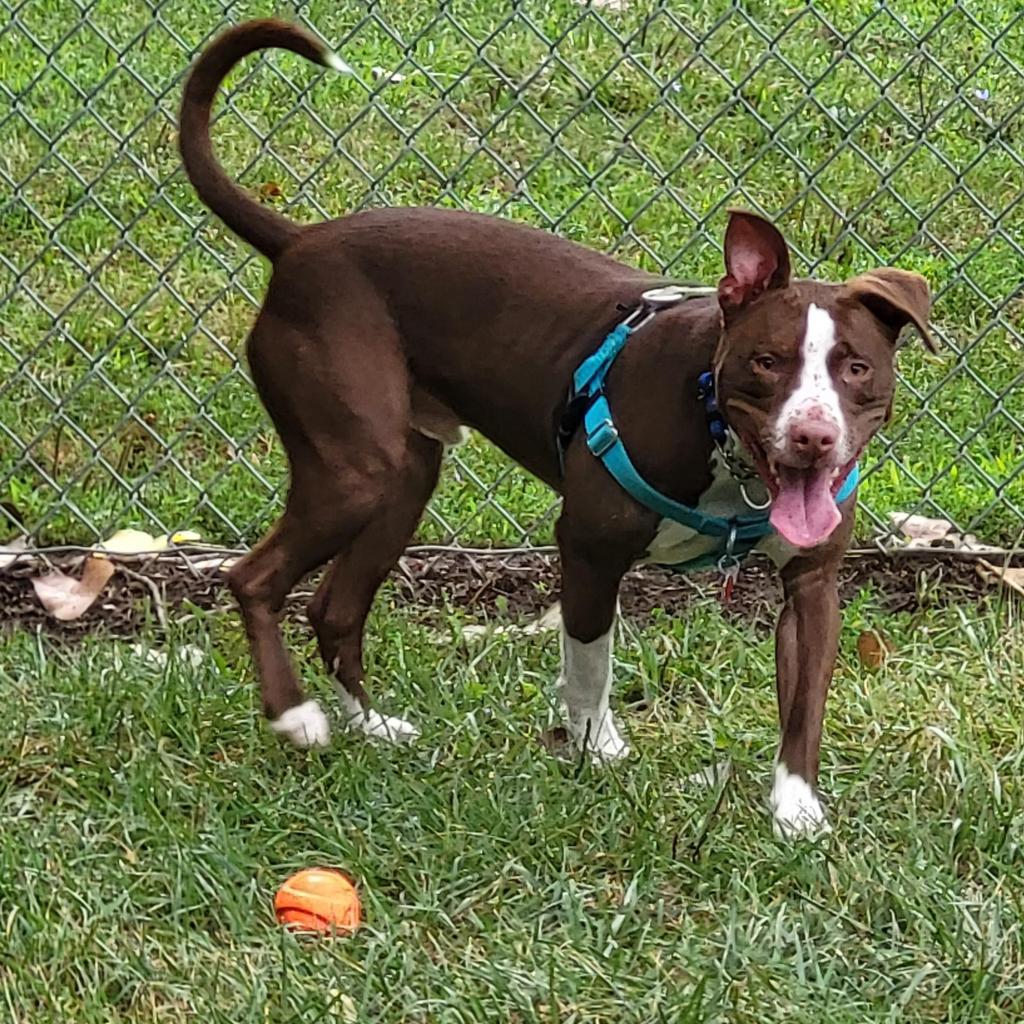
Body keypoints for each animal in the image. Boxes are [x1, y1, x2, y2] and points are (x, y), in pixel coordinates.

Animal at [180, 19, 933, 839]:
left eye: (854, 367)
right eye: (768, 362)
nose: (813, 437)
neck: (724, 450)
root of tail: (301, 242)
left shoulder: (812, 583)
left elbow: (804, 705)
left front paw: (796, 810)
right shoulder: (588, 547)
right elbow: (588, 663)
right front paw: (595, 749)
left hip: (403, 482)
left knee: (334, 607)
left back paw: (371, 727)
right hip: (355, 472)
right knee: (253, 578)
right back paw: (295, 717)